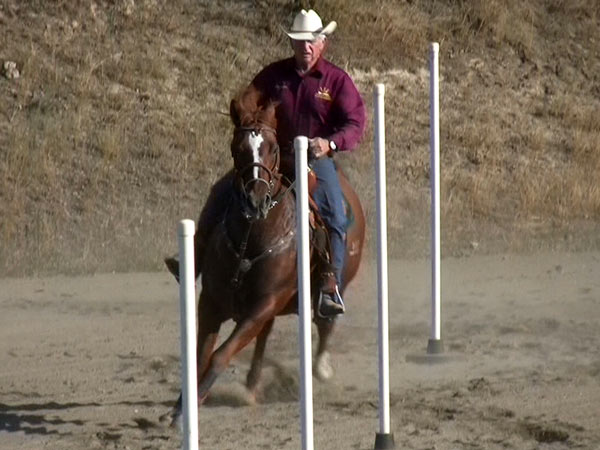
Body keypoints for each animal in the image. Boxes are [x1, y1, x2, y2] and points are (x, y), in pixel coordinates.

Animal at [162, 88, 366, 426]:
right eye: (237, 147)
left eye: (271, 149)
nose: (255, 199)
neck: (252, 237)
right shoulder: (211, 303)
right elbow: (201, 356)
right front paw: (182, 409)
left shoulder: (264, 303)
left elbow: (219, 355)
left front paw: (196, 401)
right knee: (264, 336)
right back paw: (251, 385)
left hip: (331, 283)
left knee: (325, 322)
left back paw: (320, 367)